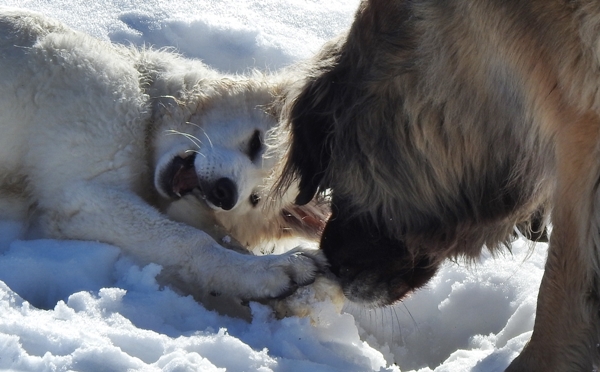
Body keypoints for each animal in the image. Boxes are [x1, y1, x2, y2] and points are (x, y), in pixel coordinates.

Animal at [0, 8, 328, 310]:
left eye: (254, 200)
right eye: (256, 143)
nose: (224, 193)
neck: (147, 99)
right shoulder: (84, 195)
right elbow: (190, 239)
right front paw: (267, 271)